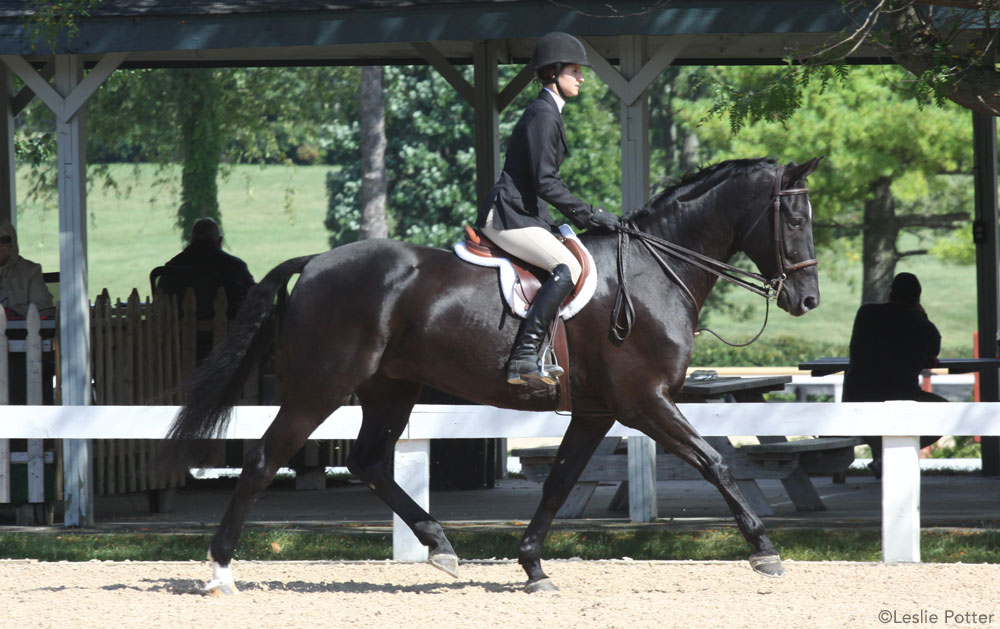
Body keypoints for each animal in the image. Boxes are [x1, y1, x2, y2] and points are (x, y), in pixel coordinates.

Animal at [162, 155, 820, 592]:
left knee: (370, 461)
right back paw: (221, 570)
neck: (657, 269)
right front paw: (765, 550)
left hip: (390, 388)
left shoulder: (597, 410)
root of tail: (318, 262)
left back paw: (440, 546)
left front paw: (531, 565)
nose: (807, 301)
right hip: (319, 387)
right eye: (793, 221)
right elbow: (713, 463)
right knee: (264, 459)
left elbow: (559, 483)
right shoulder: (644, 401)